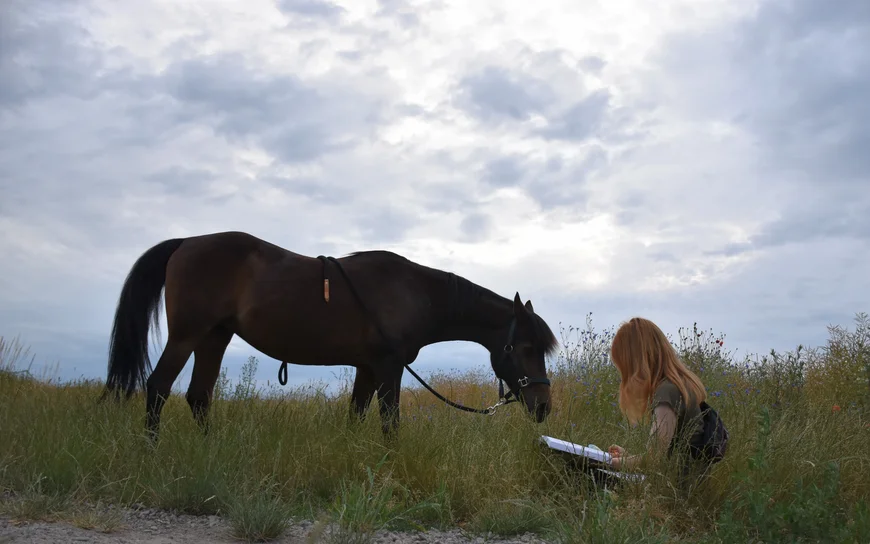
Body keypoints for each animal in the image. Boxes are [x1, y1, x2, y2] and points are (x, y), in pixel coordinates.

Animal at [101, 231, 559, 441]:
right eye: (525, 347)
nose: (543, 407)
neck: (414, 293)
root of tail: (186, 243)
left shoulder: (367, 369)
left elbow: (356, 415)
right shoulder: (388, 368)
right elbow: (389, 422)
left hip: (215, 337)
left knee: (199, 396)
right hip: (187, 335)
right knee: (158, 387)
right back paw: (152, 451)